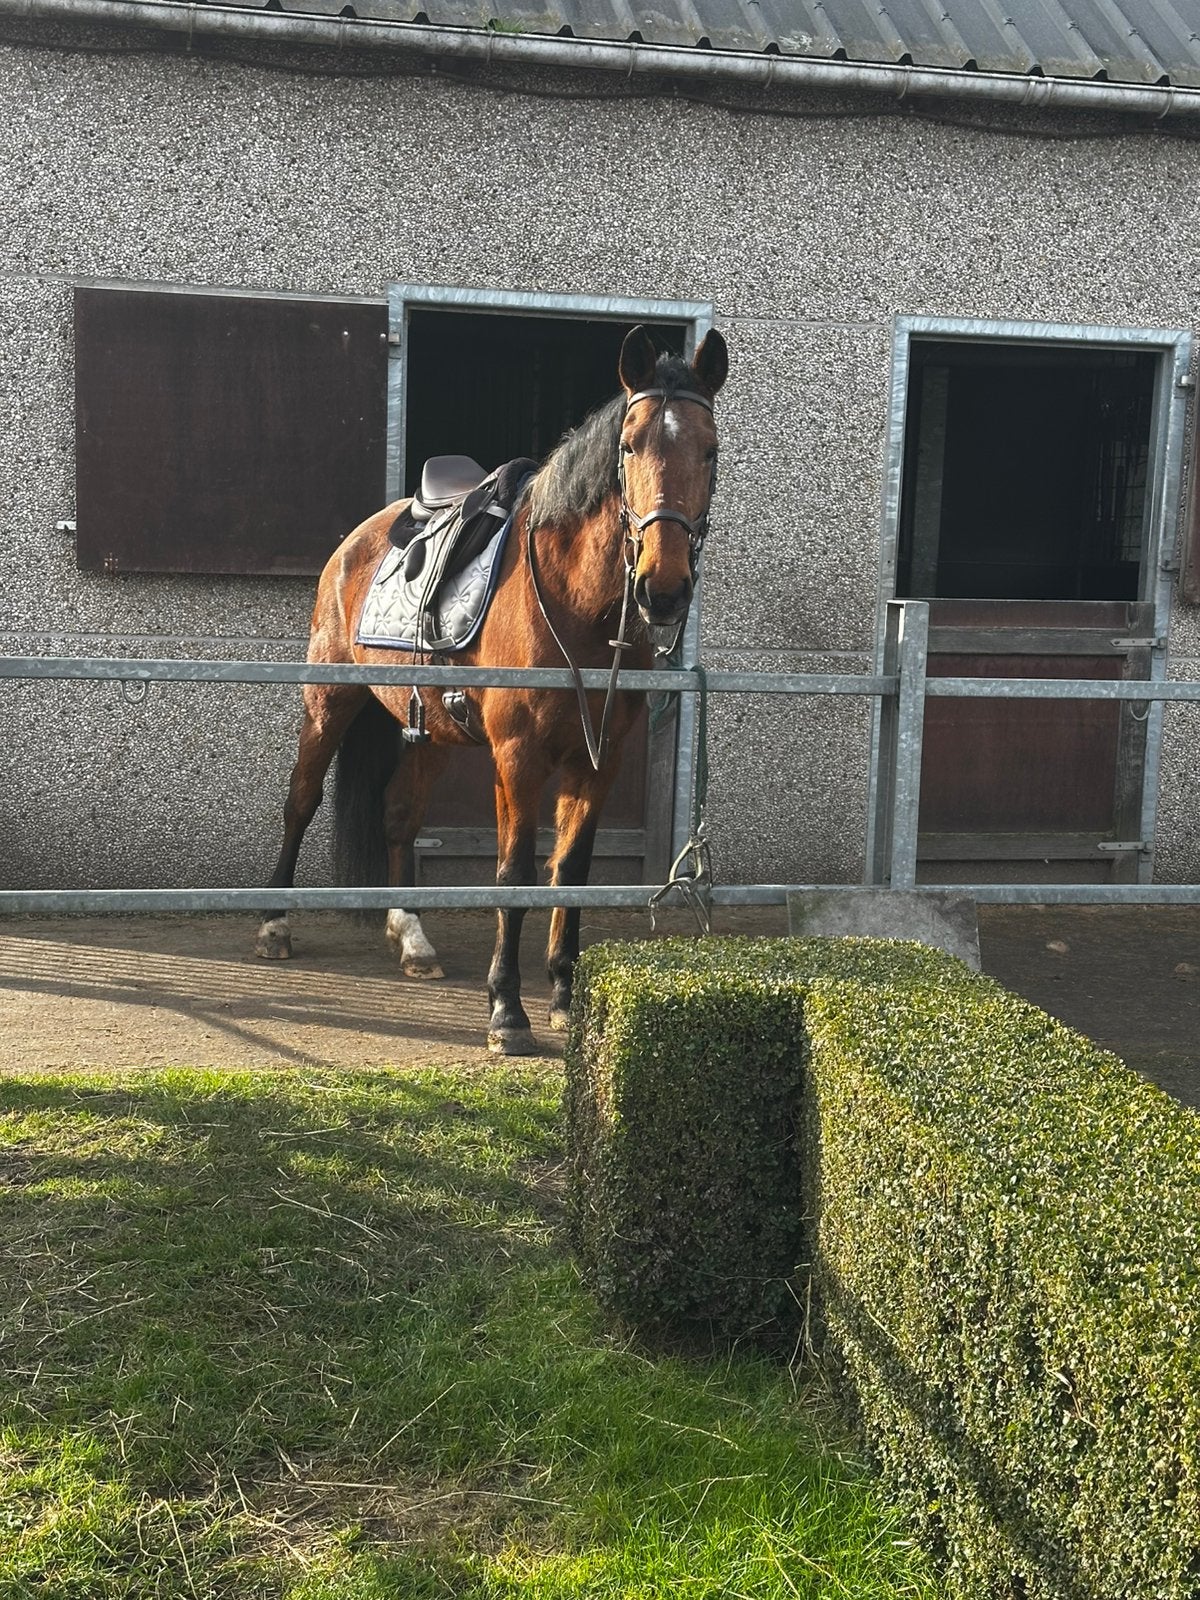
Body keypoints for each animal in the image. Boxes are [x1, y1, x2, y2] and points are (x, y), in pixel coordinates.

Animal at [255, 324, 728, 1054]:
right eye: (628, 445)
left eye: (710, 449)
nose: (664, 587)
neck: (574, 603)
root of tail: (356, 541)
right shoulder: (517, 754)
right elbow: (515, 873)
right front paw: (507, 1010)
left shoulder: (598, 761)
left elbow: (571, 870)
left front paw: (563, 994)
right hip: (329, 703)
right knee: (300, 802)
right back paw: (276, 924)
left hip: (430, 732)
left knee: (399, 816)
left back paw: (413, 938)